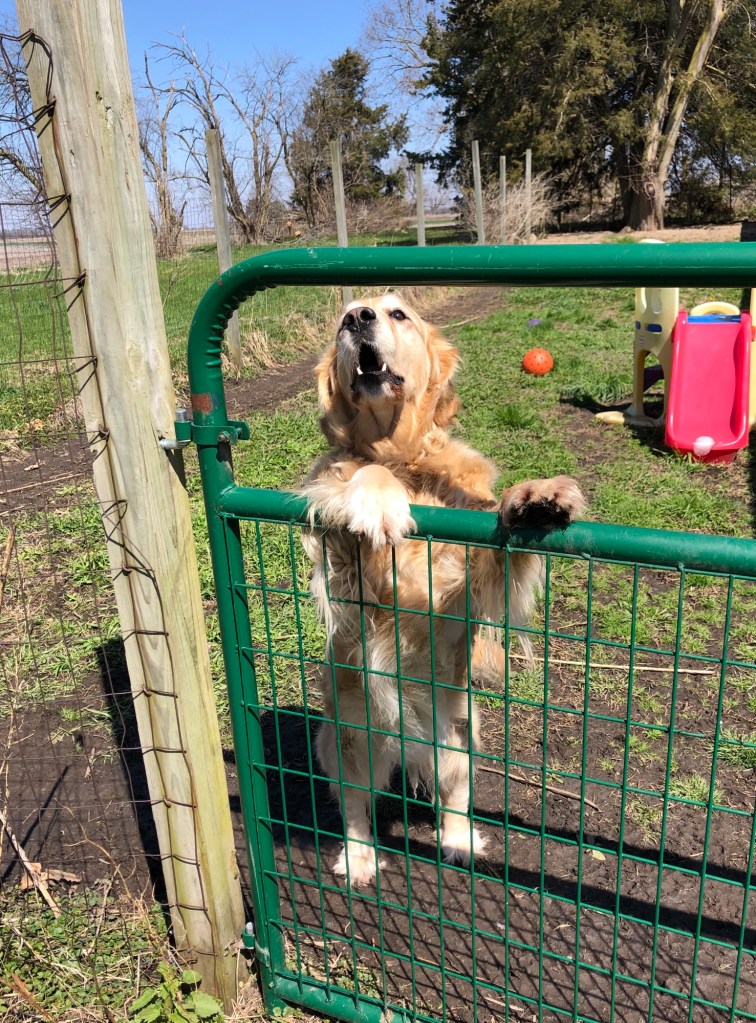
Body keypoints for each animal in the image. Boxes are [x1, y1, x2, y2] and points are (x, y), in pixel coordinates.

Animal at [300, 294, 585, 886]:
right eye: (341, 320)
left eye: (398, 314)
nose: (357, 317)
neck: (400, 451)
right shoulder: (342, 566)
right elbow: (359, 482)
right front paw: (377, 499)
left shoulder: (469, 578)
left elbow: (497, 547)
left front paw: (538, 496)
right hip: (346, 739)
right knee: (355, 807)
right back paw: (359, 859)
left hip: (459, 734)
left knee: (453, 795)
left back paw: (458, 843)